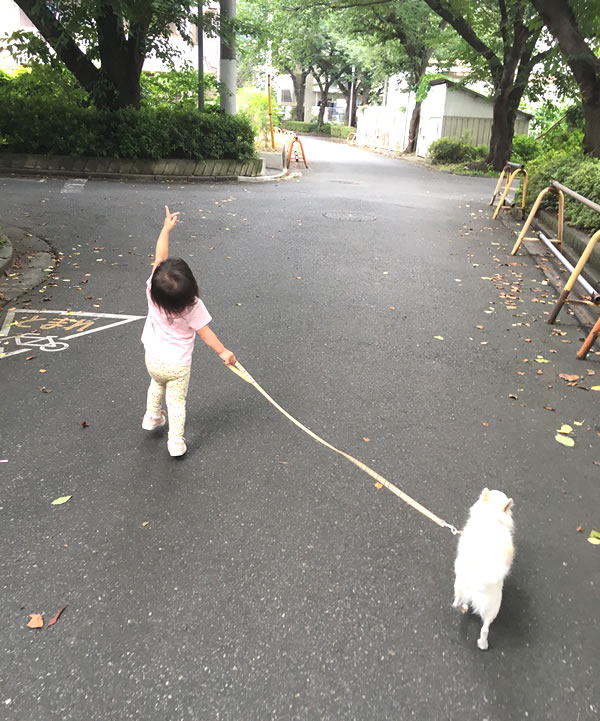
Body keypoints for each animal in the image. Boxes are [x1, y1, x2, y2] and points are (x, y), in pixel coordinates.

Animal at [452, 490, 512, 648]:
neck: (491, 517)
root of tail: (476, 583)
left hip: (459, 589)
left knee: (456, 605)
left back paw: (464, 609)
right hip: (493, 608)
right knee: (485, 629)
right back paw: (483, 645)